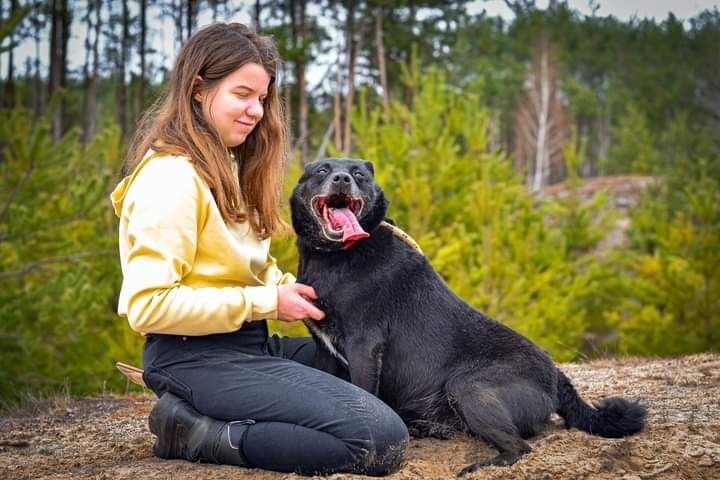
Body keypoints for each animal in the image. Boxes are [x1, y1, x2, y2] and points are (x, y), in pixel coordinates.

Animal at [290, 158, 644, 476]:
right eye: (322, 170)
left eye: (359, 174)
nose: (341, 179)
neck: (336, 256)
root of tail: (555, 376)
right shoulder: (324, 350)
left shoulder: (364, 346)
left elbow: (364, 392)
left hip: (468, 387)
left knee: (519, 448)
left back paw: (476, 465)